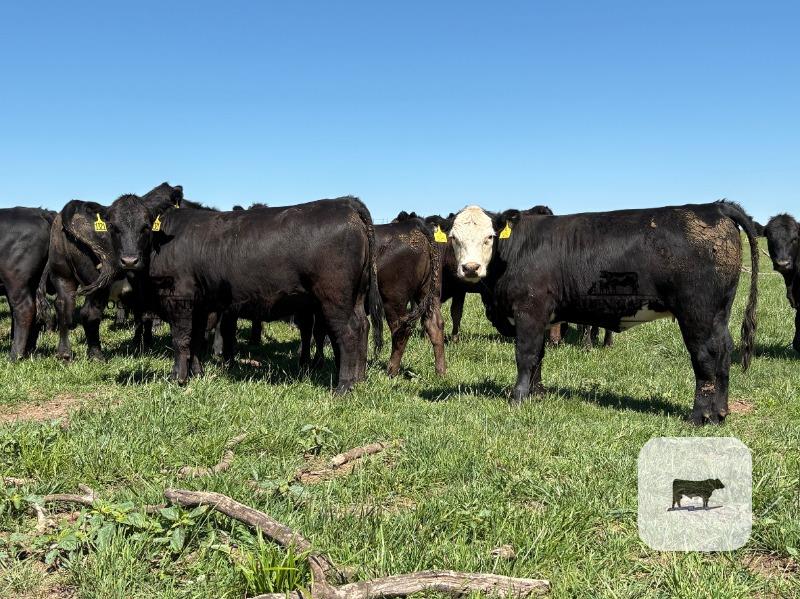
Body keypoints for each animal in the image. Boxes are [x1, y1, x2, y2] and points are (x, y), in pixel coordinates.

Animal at [37, 183, 183, 359]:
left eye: (145, 227)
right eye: (114, 227)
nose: (129, 261)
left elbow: (139, 314)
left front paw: (138, 343)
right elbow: (145, 314)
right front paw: (146, 343)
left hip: (62, 274)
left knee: (62, 305)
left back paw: (64, 353)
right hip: (96, 283)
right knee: (89, 313)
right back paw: (96, 355)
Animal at [144, 196, 382, 393]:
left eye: (144, 226)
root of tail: (345, 202)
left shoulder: (178, 298)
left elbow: (181, 338)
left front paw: (177, 377)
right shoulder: (200, 305)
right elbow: (195, 338)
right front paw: (198, 373)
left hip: (335, 298)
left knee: (348, 332)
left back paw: (344, 387)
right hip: (356, 296)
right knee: (362, 326)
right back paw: (359, 380)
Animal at [442, 201, 759, 425]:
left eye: (489, 237)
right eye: (454, 238)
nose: (470, 268)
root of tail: (714, 206)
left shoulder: (529, 311)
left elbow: (526, 355)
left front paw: (518, 398)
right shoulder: (542, 317)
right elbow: (539, 356)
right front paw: (537, 394)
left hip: (697, 313)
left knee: (705, 357)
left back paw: (699, 416)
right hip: (719, 312)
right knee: (724, 352)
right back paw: (720, 413)